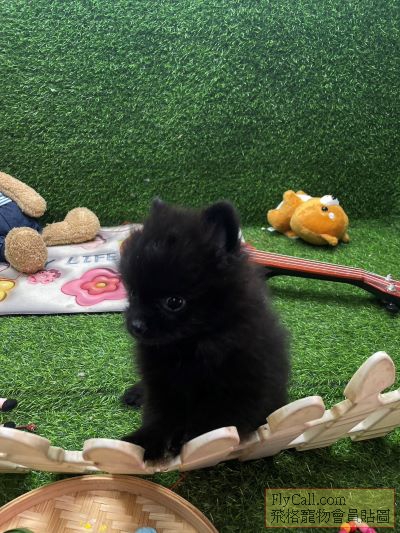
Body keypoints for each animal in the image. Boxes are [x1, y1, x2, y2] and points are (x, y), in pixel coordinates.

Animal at [119, 199, 290, 461]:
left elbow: (211, 423)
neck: (191, 344)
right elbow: (160, 414)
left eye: (174, 302)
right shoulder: (161, 383)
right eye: (134, 293)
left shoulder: (233, 389)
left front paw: (185, 440)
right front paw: (144, 441)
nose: (136, 325)